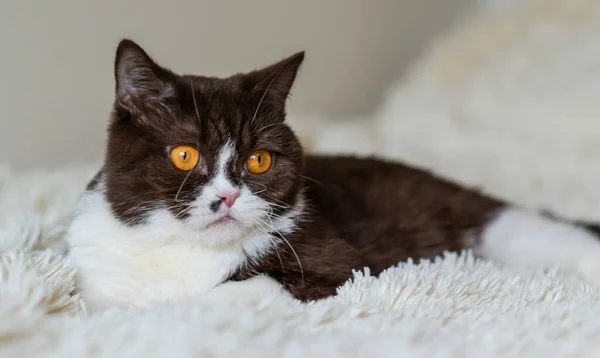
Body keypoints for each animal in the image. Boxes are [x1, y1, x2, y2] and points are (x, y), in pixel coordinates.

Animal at [67, 39, 600, 310]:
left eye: (259, 161)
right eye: (183, 155)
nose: (228, 197)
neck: (183, 248)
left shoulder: (334, 265)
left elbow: (233, 291)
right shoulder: (98, 269)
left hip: (501, 226)